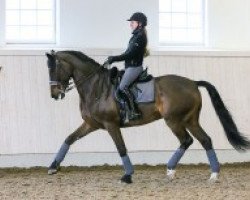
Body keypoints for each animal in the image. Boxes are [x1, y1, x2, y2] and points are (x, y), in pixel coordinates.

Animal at [45, 50, 250, 184]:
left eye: (54, 68)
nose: (55, 94)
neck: (96, 87)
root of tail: (192, 82)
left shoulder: (111, 124)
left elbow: (121, 148)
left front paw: (127, 175)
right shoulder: (91, 124)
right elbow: (69, 139)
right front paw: (53, 166)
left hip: (174, 120)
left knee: (186, 140)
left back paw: (171, 170)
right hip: (190, 120)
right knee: (205, 140)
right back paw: (212, 174)